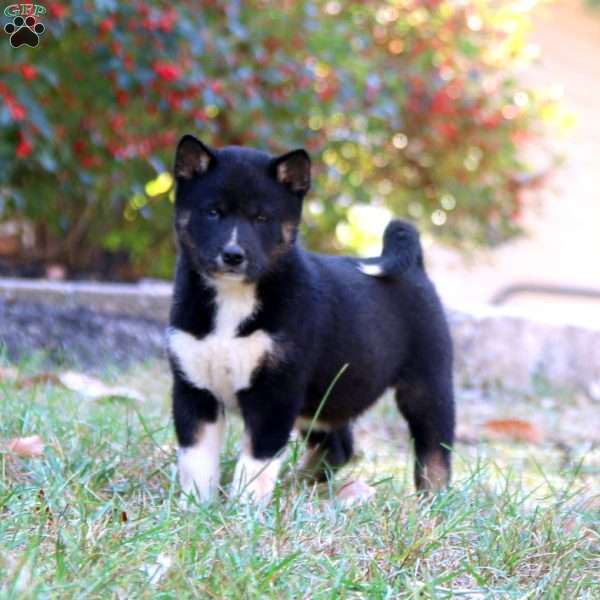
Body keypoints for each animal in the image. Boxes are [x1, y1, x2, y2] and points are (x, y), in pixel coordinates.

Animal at [166, 135, 452, 502]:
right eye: (213, 212)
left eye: (262, 218)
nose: (233, 255)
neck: (233, 300)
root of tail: (415, 264)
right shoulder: (194, 388)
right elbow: (197, 460)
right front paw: (196, 506)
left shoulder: (276, 392)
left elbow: (256, 462)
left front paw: (244, 507)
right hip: (323, 400)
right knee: (340, 446)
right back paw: (299, 483)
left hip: (427, 385)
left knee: (434, 451)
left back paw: (432, 501)